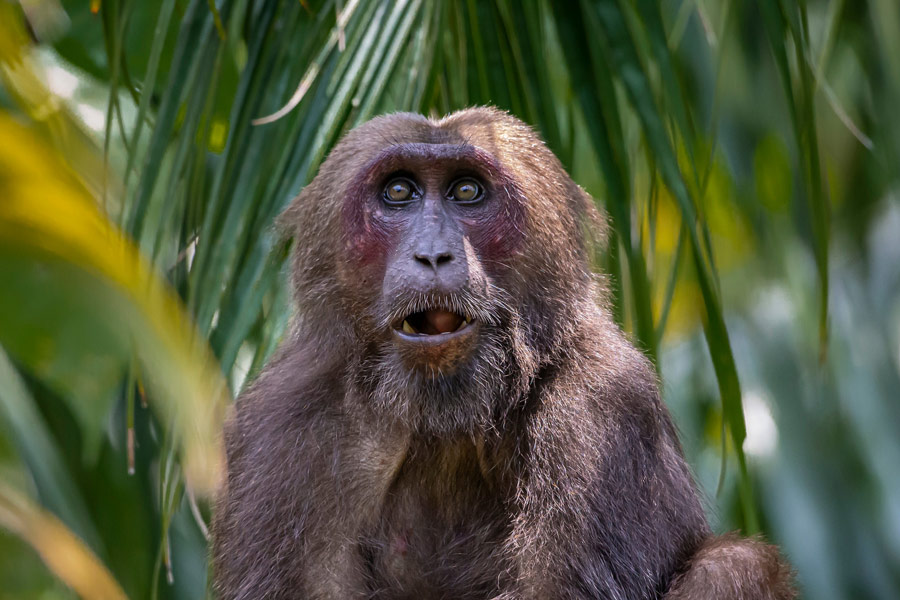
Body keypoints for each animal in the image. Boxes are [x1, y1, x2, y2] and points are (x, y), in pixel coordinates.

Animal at [213, 108, 796, 600]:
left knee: (733, 566)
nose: (433, 254)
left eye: (467, 191)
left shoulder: (602, 408)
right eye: (398, 191)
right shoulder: (285, 429)